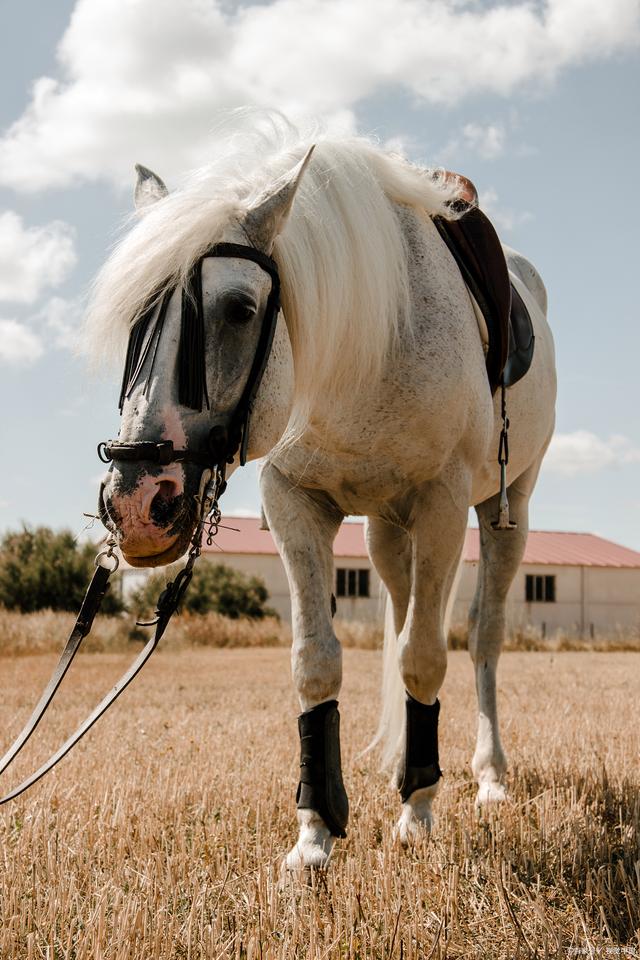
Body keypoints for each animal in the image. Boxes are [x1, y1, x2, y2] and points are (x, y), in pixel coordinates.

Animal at [89, 112, 556, 872]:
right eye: (134, 319)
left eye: (239, 308)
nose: (136, 501)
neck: (365, 345)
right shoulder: (295, 503)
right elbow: (317, 662)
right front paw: (316, 832)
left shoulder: (443, 503)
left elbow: (426, 655)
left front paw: (417, 814)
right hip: (388, 532)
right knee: (402, 606)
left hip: (503, 508)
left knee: (482, 637)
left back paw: (488, 776)